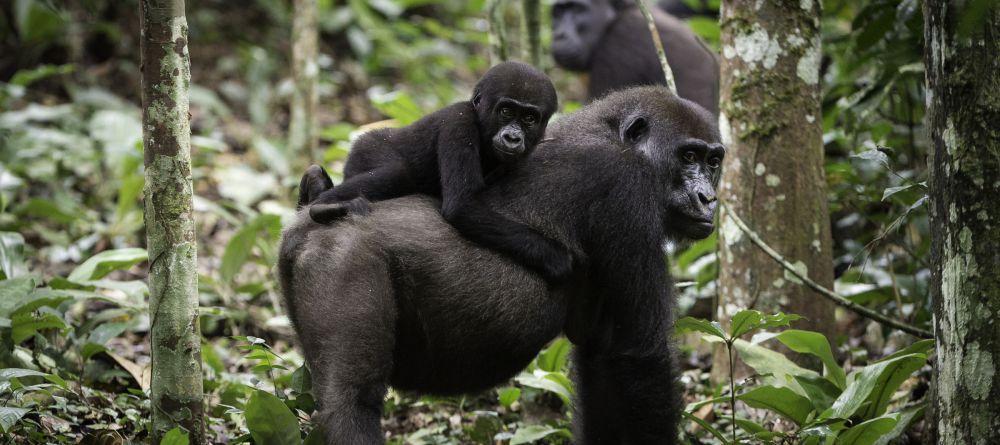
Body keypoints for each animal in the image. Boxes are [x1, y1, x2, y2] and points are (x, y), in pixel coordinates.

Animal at [278, 87, 724, 444]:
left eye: (714, 162)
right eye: (688, 156)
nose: (708, 199)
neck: (612, 131)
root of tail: (301, 225)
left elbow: (603, 355)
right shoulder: (627, 191)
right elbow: (640, 355)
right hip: (344, 259)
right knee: (353, 402)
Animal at [300, 61, 576, 280]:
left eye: (529, 118)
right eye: (506, 111)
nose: (512, 137)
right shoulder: (459, 122)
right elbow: (462, 207)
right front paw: (558, 259)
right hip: (367, 149)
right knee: (398, 172)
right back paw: (323, 205)